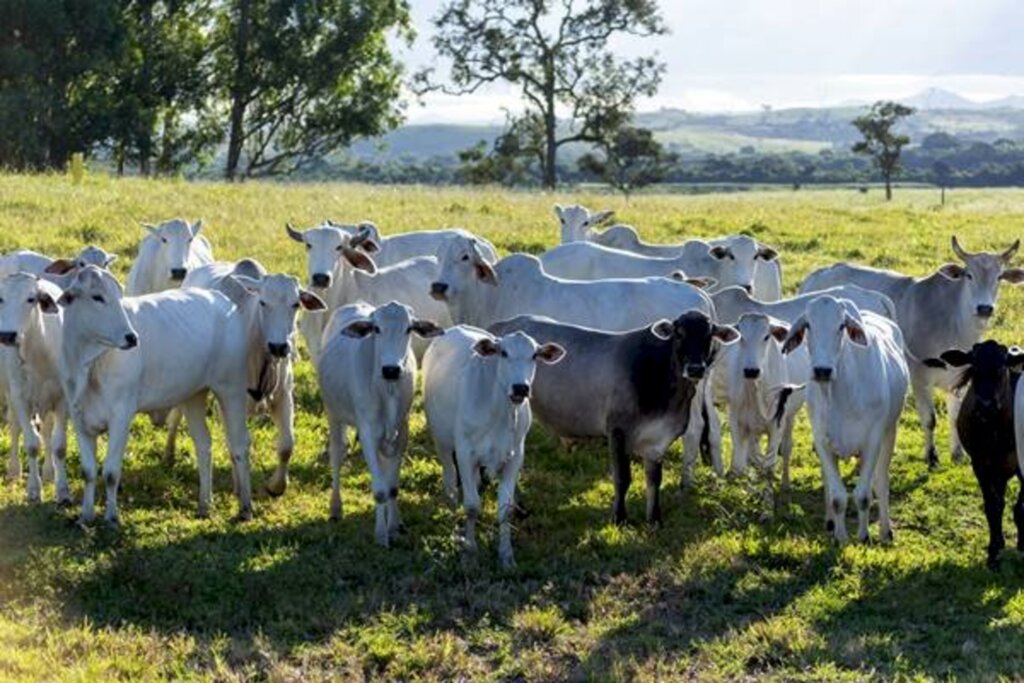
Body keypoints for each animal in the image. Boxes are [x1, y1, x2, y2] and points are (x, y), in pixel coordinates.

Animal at [0, 270, 70, 501]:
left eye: (31, 299)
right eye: (1, 298)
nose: (7, 335)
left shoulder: (62, 398)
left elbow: (59, 446)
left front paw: (62, 490)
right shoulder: (20, 398)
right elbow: (31, 444)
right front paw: (33, 490)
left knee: (47, 431)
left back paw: (49, 473)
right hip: (10, 394)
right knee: (14, 426)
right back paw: (14, 470)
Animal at [165, 260, 323, 497]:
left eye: (296, 304)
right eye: (263, 302)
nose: (278, 347)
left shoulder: (284, 395)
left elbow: (287, 446)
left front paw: (276, 486)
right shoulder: (226, 401)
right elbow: (233, 444)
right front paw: (239, 487)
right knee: (176, 414)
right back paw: (169, 452)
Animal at [487, 313, 737, 528]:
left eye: (709, 334)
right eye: (679, 333)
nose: (695, 368)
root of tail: (499, 327)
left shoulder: (658, 440)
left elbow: (654, 479)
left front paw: (654, 519)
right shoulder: (617, 431)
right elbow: (622, 478)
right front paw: (619, 518)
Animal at [778, 296, 909, 540]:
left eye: (841, 326)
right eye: (808, 325)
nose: (822, 371)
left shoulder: (873, 442)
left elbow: (864, 495)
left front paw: (864, 536)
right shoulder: (822, 442)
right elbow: (837, 496)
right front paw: (840, 537)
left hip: (890, 432)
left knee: (881, 482)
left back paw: (885, 531)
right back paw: (830, 522)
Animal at [925, 339, 1024, 565]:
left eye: (1002, 367)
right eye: (975, 368)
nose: (985, 405)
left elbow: (1020, 506)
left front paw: (1020, 544)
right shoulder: (980, 464)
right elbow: (992, 507)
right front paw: (994, 551)